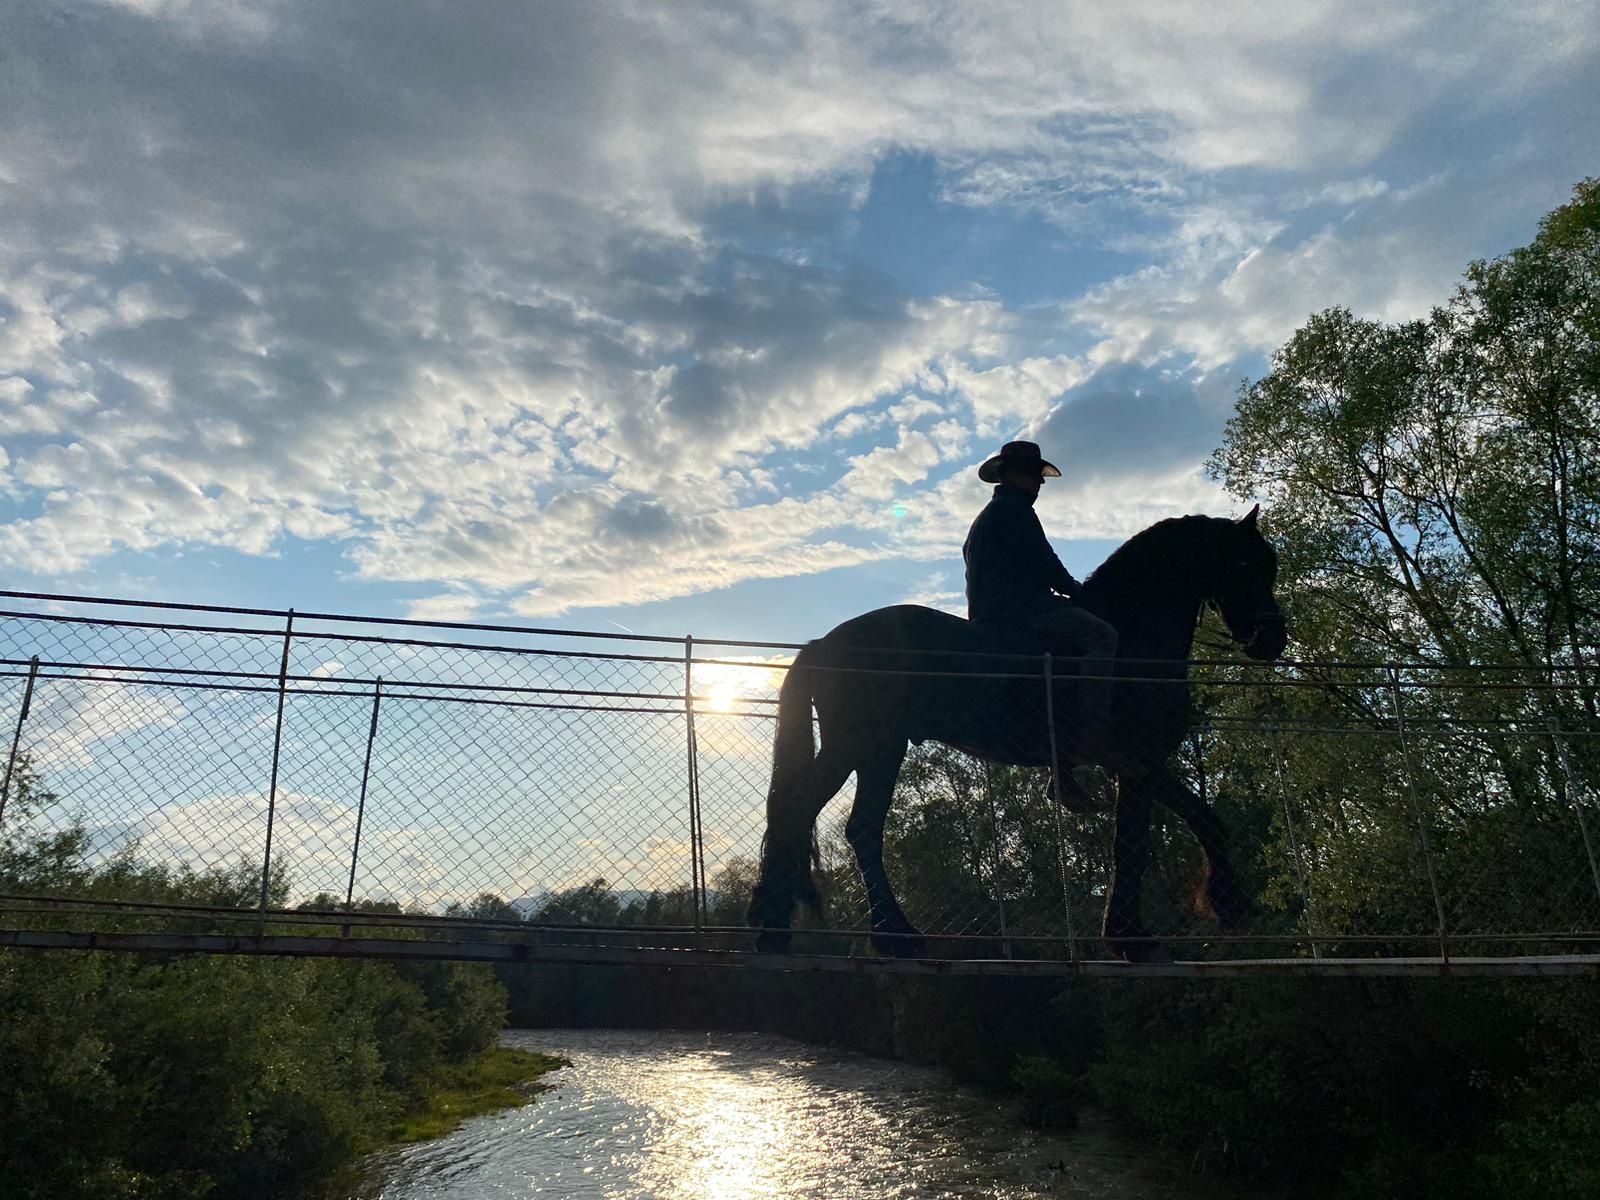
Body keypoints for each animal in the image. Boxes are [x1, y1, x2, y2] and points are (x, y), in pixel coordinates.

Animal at [748, 508, 1286, 966]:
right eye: (1243, 561)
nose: (1272, 640)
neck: (1134, 638)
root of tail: (823, 643)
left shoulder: (1136, 766)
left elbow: (1151, 835)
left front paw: (1135, 933)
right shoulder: (1139, 759)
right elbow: (1172, 831)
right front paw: (1203, 914)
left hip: (867, 751)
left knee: (826, 819)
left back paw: (809, 929)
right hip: (866, 747)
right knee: (828, 820)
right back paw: (860, 935)